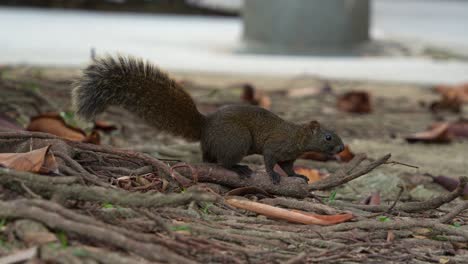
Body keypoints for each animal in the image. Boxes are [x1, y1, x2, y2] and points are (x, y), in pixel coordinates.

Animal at [72, 55, 344, 184]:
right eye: (328, 136)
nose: (342, 148)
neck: (297, 136)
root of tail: (205, 127)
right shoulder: (276, 146)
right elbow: (269, 160)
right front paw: (274, 176)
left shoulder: (288, 156)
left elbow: (288, 167)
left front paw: (298, 176)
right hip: (237, 139)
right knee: (224, 162)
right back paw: (239, 168)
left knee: (210, 159)